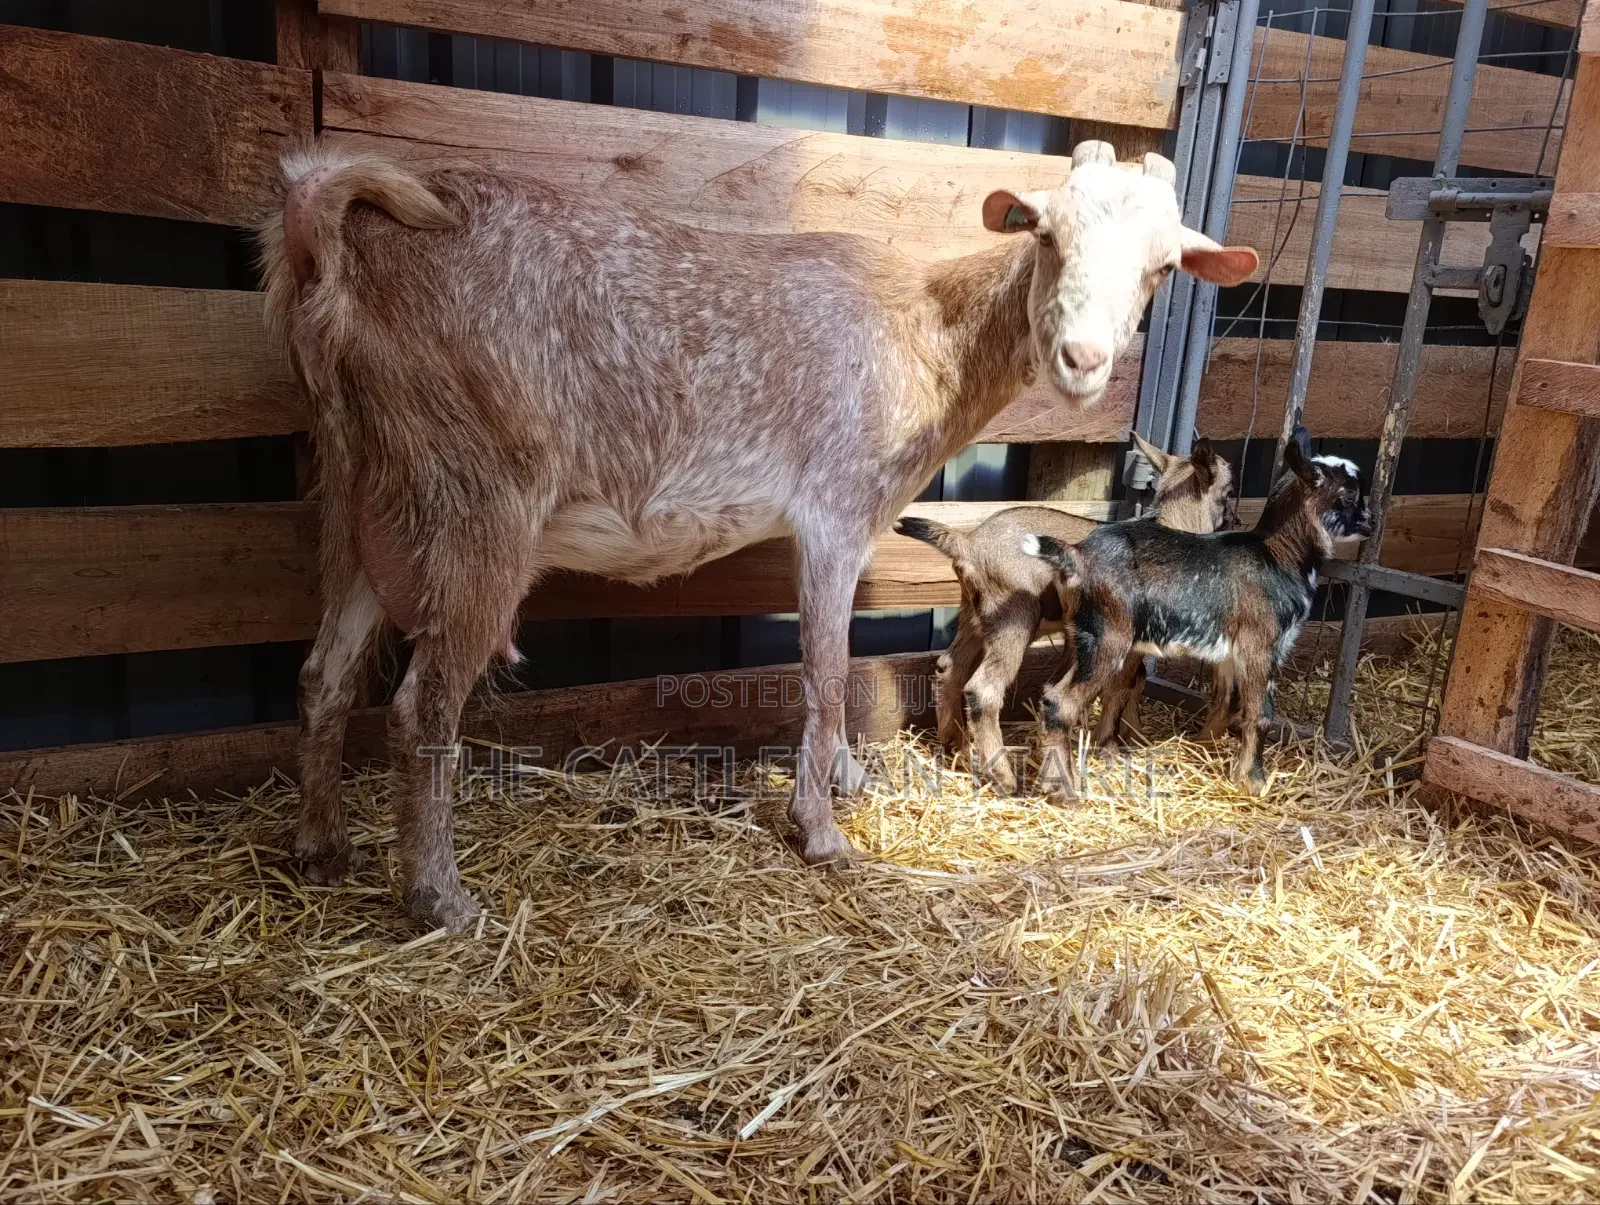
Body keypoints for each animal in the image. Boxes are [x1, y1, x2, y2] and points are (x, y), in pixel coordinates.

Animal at [893, 433, 1235, 791]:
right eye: (1228, 490)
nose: (1236, 520)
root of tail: (967, 542)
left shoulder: (1081, 638)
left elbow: (1115, 684)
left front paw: (1129, 737)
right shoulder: (1126, 641)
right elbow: (1120, 687)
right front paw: (1108, 747)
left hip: (974, 615)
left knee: (950, 669)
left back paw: (956, 748)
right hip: (1013, 618)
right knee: (983, 690)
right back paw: (1003, 777)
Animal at [1024, 427, 1371, 798]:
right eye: (1349, 495)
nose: (1371, 522)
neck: (1278, 554)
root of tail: (1074, 554)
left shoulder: (1231, 652)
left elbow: (1224, 701)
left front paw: (1212, 752)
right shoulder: (1260, 645)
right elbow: (1260, 713)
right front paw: (1255, 782)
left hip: (1081, 636)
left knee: (1051, 692)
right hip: (1109, 637)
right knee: (1062, 702)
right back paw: (1064, 788)